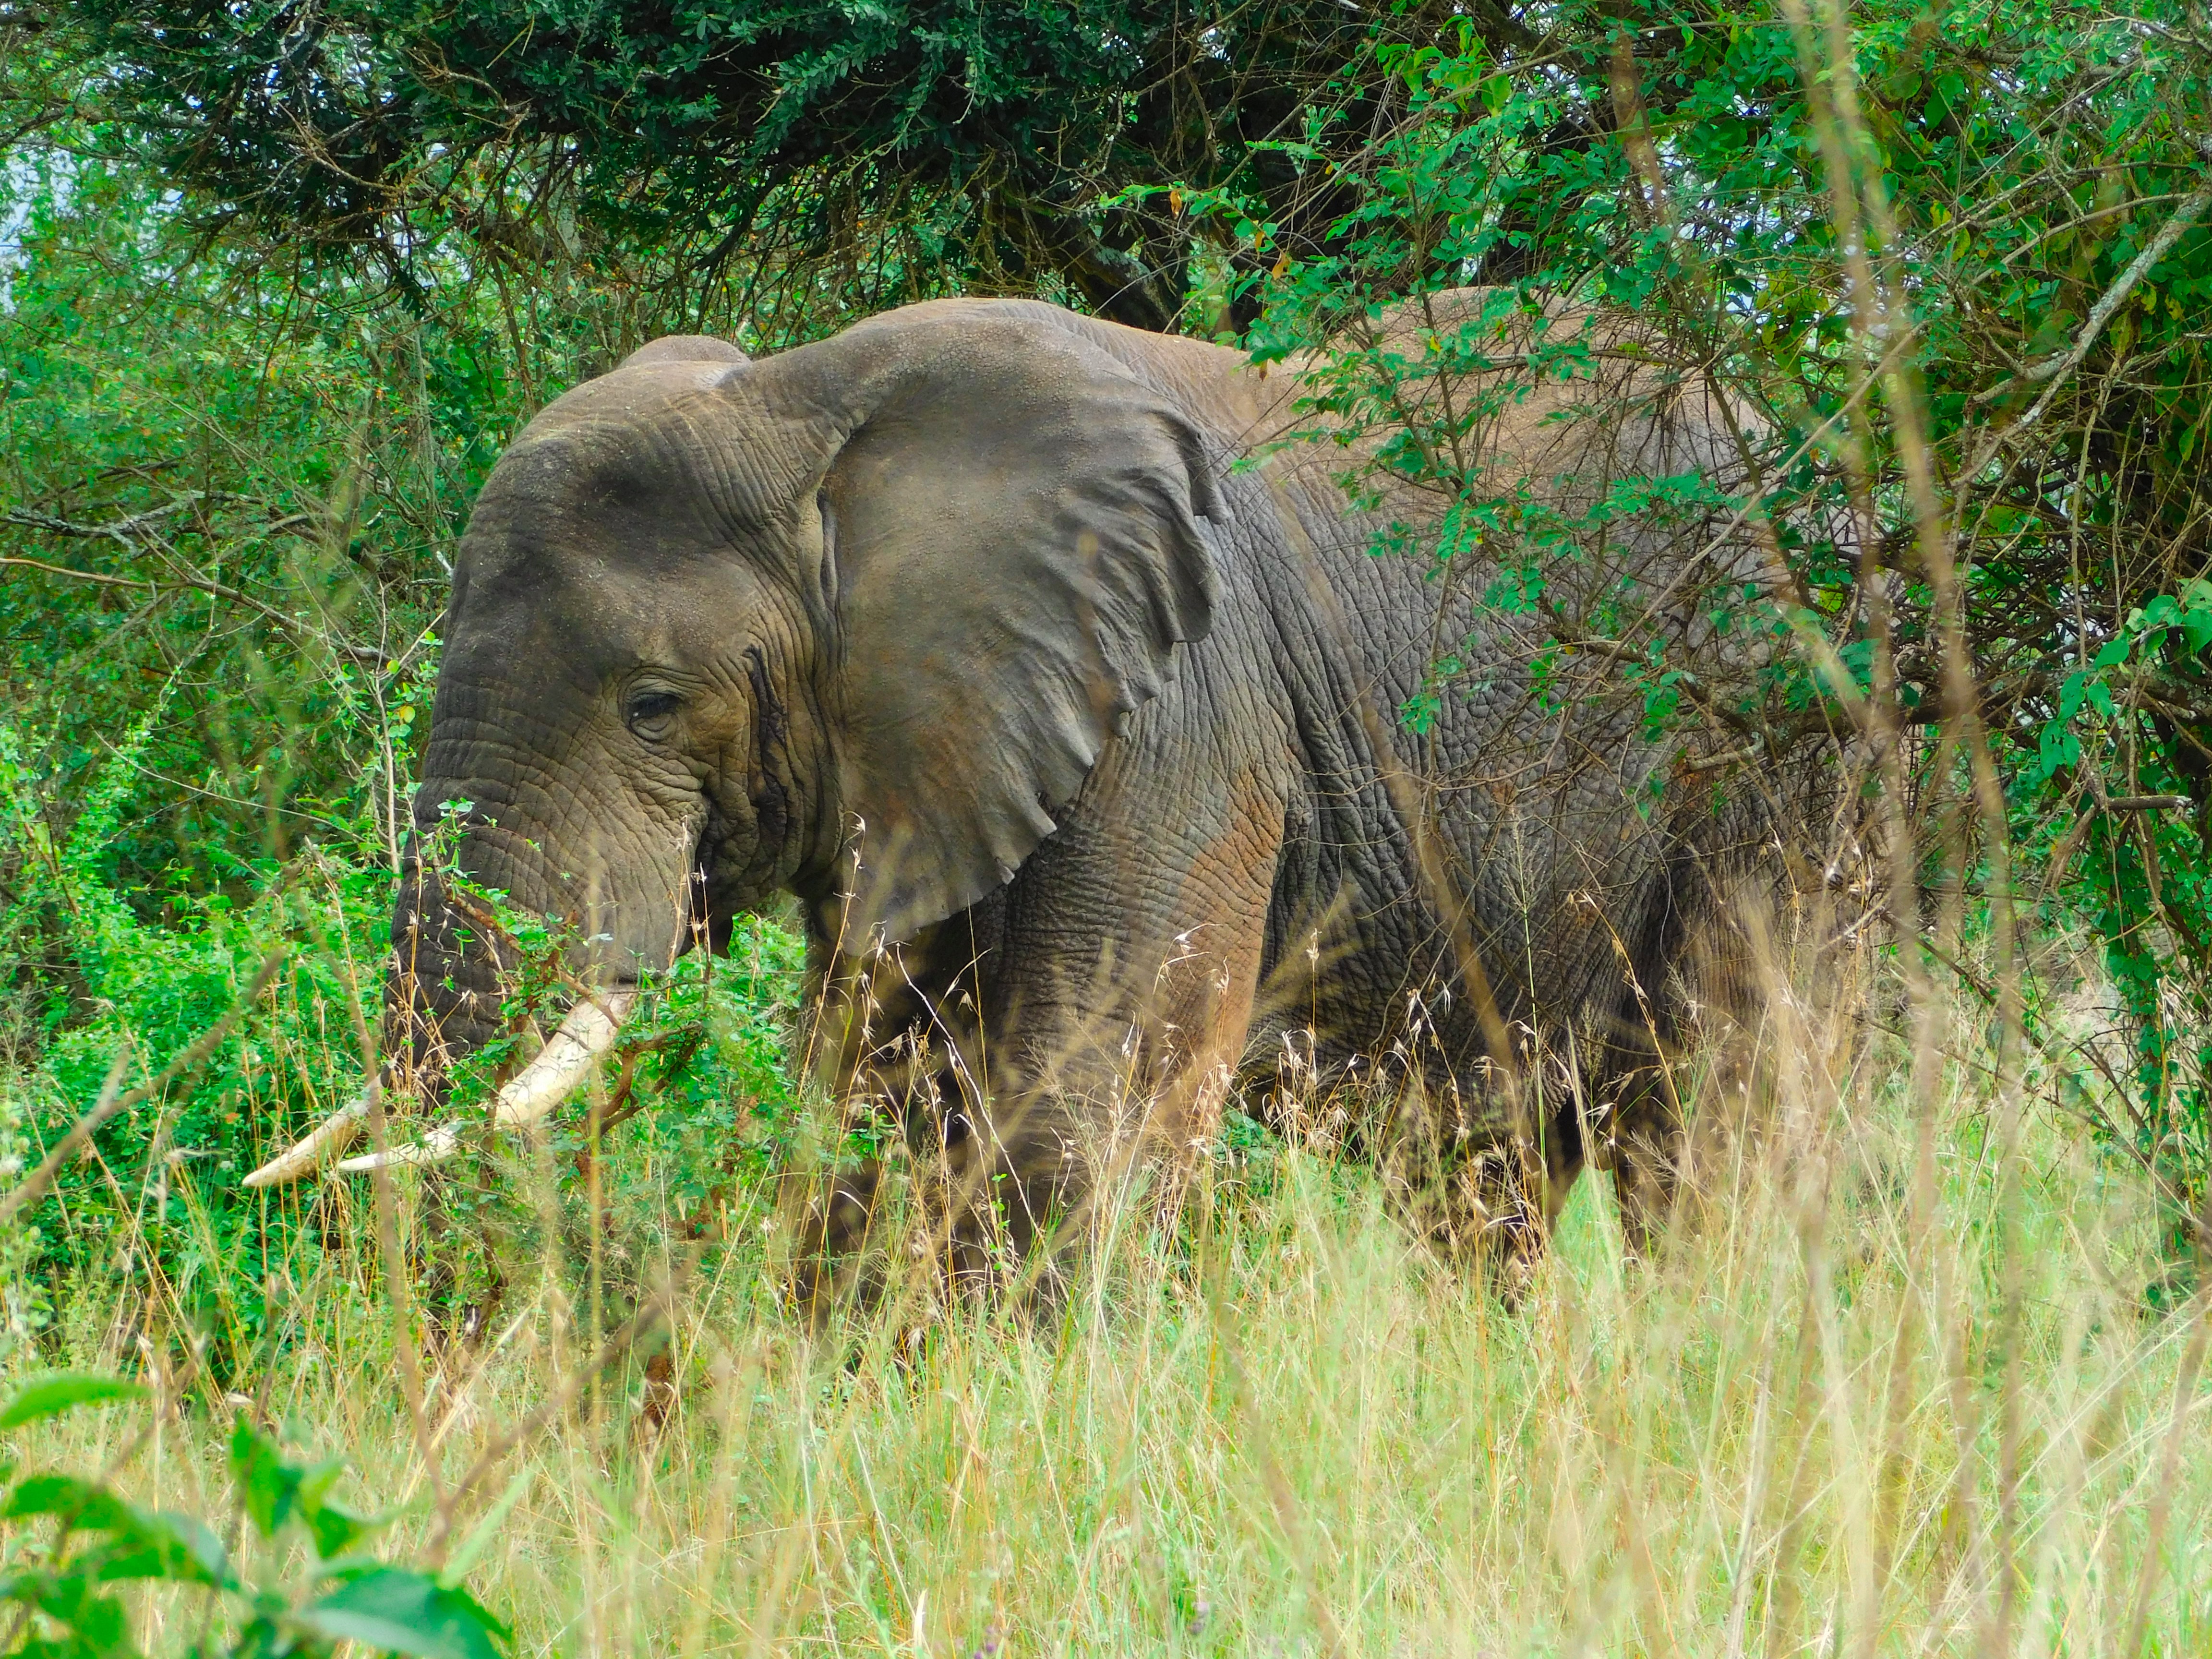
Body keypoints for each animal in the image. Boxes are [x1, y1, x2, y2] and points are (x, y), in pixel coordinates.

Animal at [245, 292, 1827, 1293]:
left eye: (651, 705)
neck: (805, 410)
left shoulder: (1181, 709)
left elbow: (1084, 1105)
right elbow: (874, 1106)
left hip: (1775, 730)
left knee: (1722, 1098)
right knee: (1485, 1165)